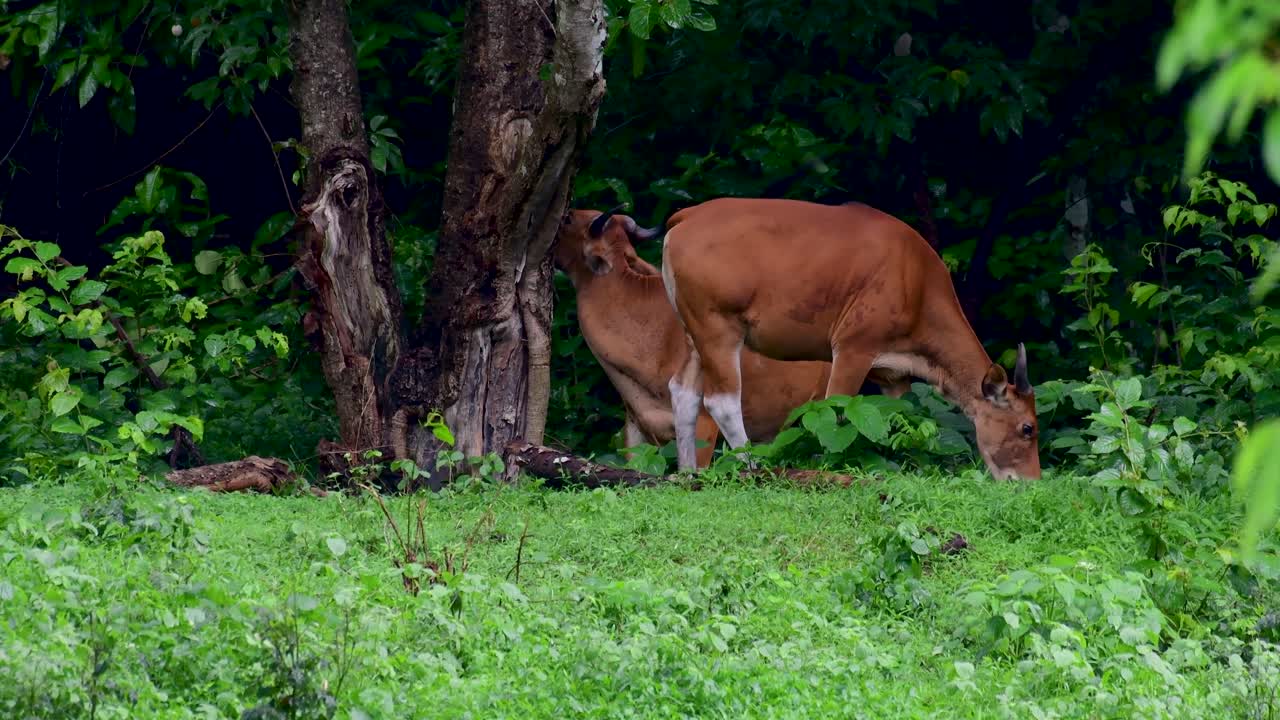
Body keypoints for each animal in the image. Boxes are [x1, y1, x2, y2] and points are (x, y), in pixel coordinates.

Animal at [659, 198, 1042, 480]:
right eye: (1028, 428)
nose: (1031, 482)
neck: (917, 285)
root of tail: (685, 216)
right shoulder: (853, 347)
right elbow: (836, 410)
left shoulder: (893, 375)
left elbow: (897, 417)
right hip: (719, 328)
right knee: (721, 400)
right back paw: (753, 466)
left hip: (694, 332)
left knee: (682, 392)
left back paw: (688, 472)